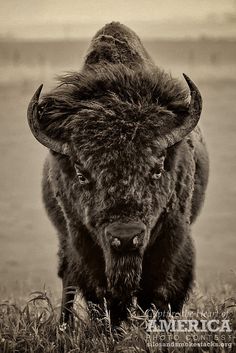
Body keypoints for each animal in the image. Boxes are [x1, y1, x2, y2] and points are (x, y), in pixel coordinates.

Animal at [27, 22, 208, 324]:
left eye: (157, 168)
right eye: (81, 173)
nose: (125, 236)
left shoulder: (173, 238)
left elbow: (159, 291)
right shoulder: (82, 240)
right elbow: (101, 294)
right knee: (68, 279)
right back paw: (64, 325)